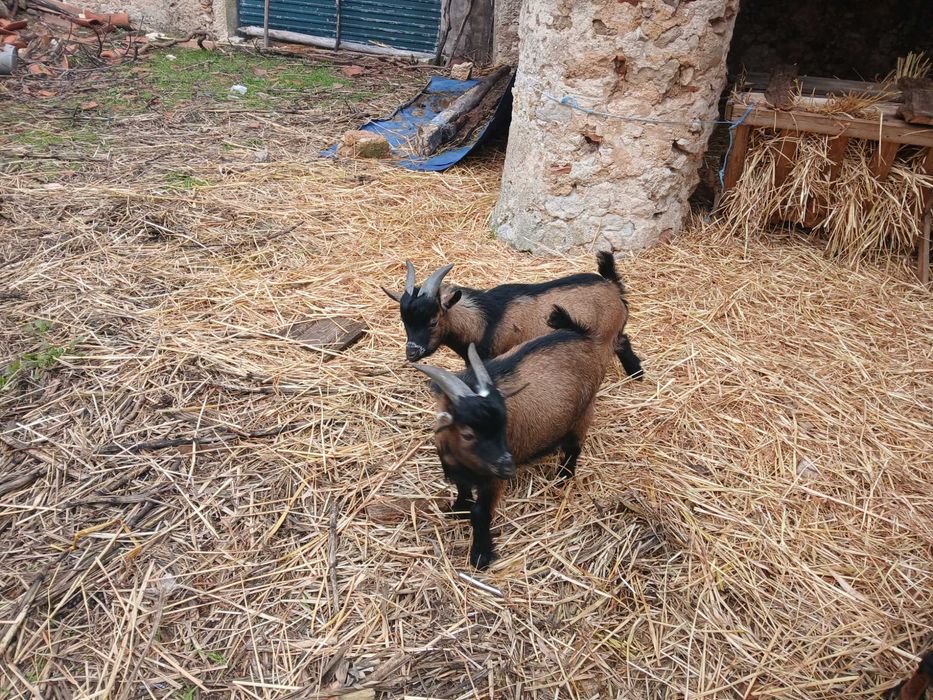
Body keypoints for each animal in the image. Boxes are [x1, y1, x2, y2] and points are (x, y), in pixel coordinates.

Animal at [383, 252, 643, 379]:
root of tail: (612, 287)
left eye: (433, 320)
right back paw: (637, 375)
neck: (484, 319)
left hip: (603, 338)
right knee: (624, 341)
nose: (411, 352)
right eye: (404, 321)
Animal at [411, 306, 614, 569]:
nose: (507, 467)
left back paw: (563, 477)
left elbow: (480, 513)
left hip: (584, 412)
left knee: (574, 448)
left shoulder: (492, 481)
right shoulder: (459, 470)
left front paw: (481, 556)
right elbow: (462, 488)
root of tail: (581, 334)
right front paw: (457, 509)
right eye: (467, 433)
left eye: (503, 424)